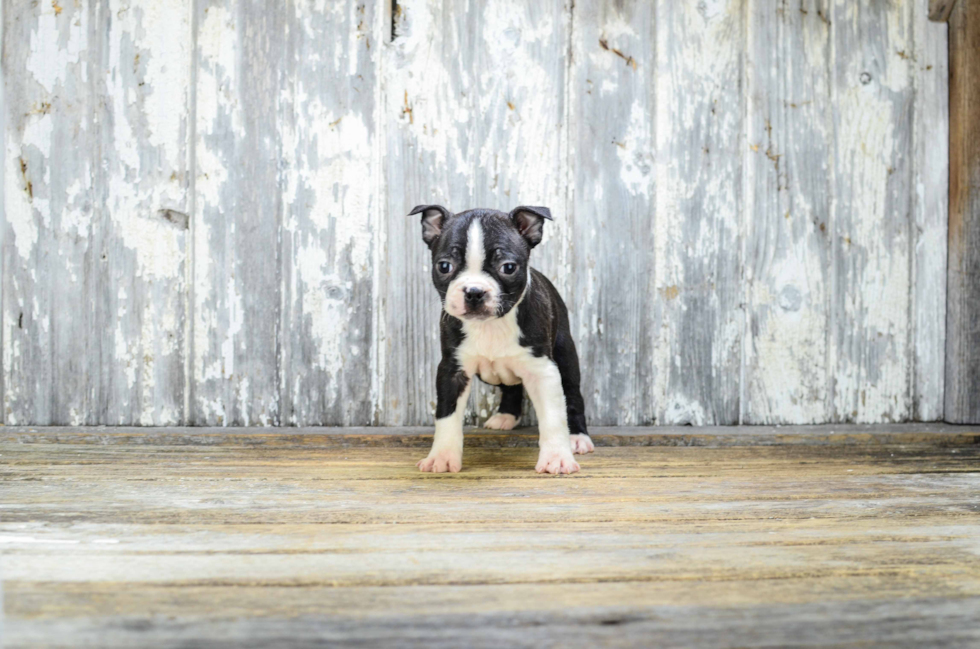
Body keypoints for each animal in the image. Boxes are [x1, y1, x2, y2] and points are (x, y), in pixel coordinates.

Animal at [408, 205, 592, 474]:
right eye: (444, 266)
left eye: (508, 267)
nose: (474, 291)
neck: (491, 325)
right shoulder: (452, 370)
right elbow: (446, 415)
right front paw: (441, 457)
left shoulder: (543, 370)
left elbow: (553, 417)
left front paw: (557, 457)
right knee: (511, 387)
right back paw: (505, 416)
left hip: (565, 354)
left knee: (573, 394)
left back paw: (578, 437)